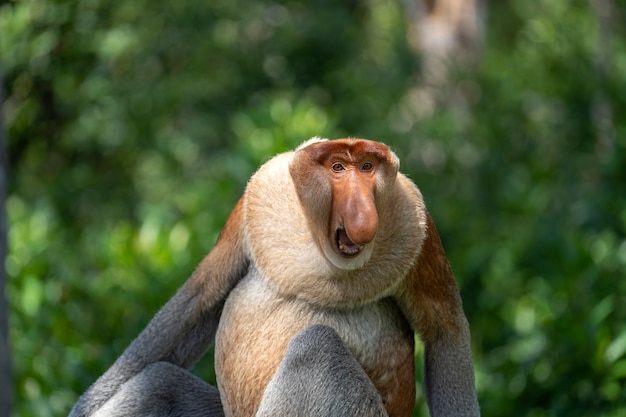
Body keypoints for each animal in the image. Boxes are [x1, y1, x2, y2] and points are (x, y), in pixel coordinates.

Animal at [68, 137, 478, 416]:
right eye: (338, 168)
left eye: (367, 167)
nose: (362, 215)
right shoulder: (256, 198)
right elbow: (202, 295)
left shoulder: (417, 224)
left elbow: (444, 330)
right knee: (159, 385)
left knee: (317, 349)